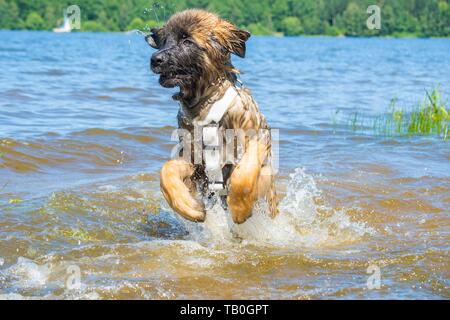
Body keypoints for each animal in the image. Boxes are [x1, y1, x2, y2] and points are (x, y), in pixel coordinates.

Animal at [146, 10, 278, 225]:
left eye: (187, 41)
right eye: (164, 40)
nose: (155, 59)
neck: (205, 106)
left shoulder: (260, 138)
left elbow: (244, 172)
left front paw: (240, 208)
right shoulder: (195, 162)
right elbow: (167, 170)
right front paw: (190, 207)